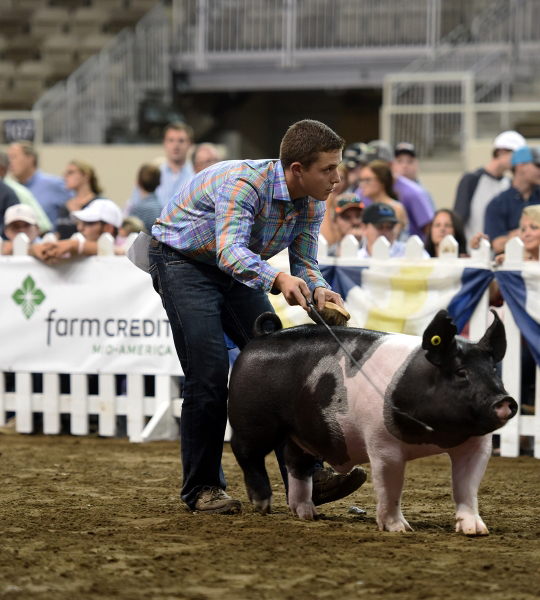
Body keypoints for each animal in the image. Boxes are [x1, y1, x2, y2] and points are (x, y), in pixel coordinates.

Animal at [228, 310, 520, 536]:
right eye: (461, 373)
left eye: (494, 371)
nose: (505, 400)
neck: (436, 436)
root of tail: (260, 337)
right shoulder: (382, 442)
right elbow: (390, 487)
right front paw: (400, 529)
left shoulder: (477, 447)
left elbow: (467, 488)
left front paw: (477, 531)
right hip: (252, 418)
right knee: (245, 453)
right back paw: (263, 505)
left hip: (302, 433)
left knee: (295, 462)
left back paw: (308, 515)